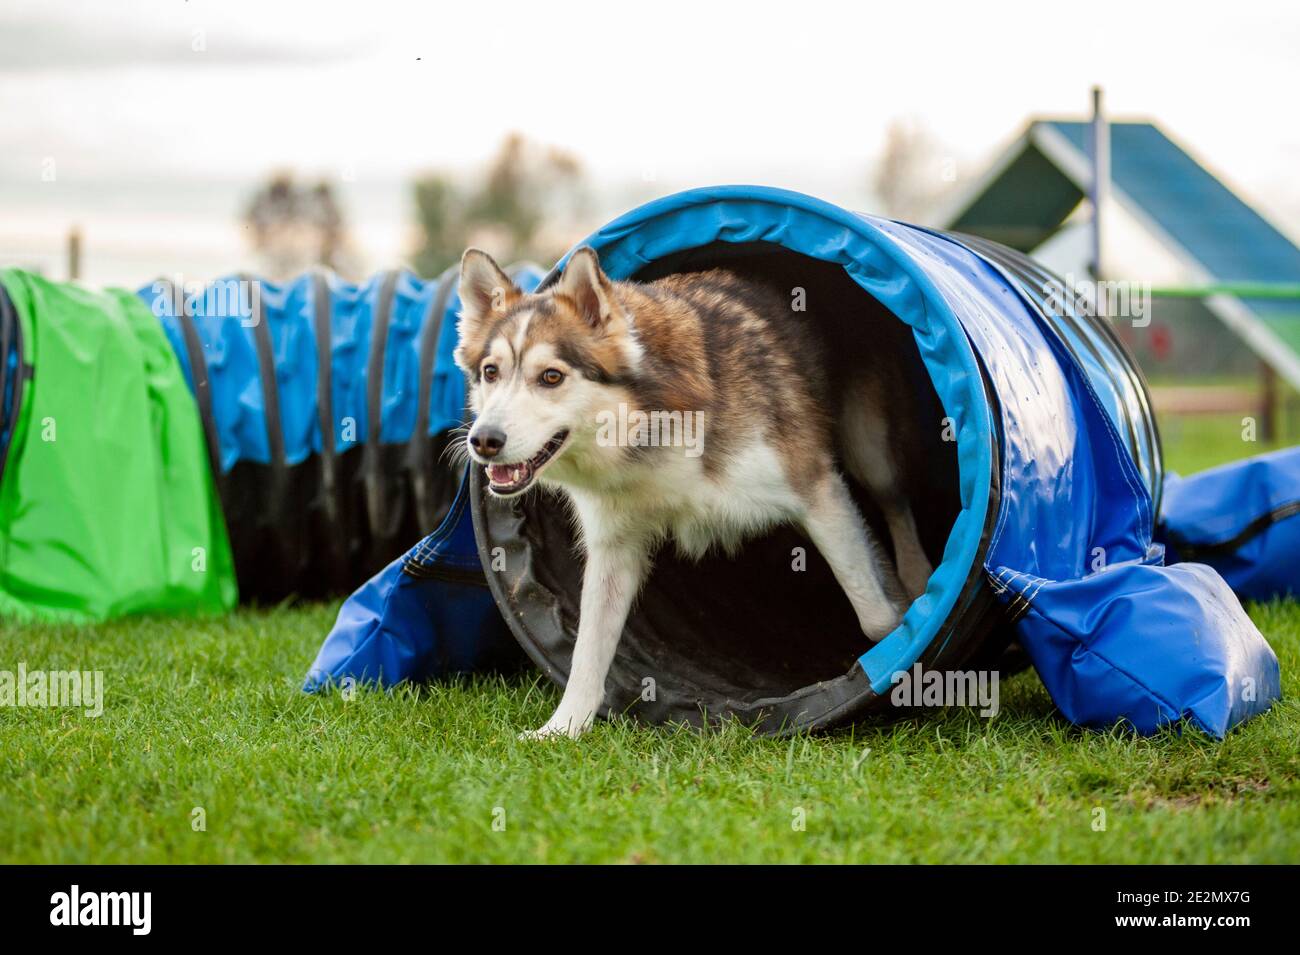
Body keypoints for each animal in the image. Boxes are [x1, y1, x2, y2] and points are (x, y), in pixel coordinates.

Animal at [452, 246, 930, 738]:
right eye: (490, 372)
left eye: (551, 377)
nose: (483, 441)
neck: (643, 424)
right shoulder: (613, 545)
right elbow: (587, 650)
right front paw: (561, 730)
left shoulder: (816, 488)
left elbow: (874, 617)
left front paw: (897, 646)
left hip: (869, 449)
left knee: (895, 507)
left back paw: (916, 577)